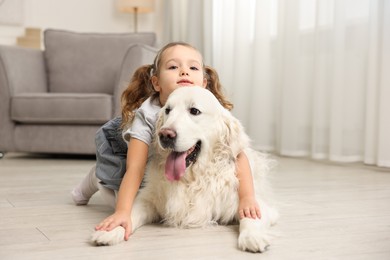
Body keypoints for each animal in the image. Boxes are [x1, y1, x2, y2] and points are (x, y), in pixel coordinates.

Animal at [90, 86, 280, 253]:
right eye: (168, 110)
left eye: (194, 111)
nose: (165, 135)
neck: (192, 179)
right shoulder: (147, 199)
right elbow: (129, 212)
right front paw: (112, 229)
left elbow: (250, 216)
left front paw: (252, 237)